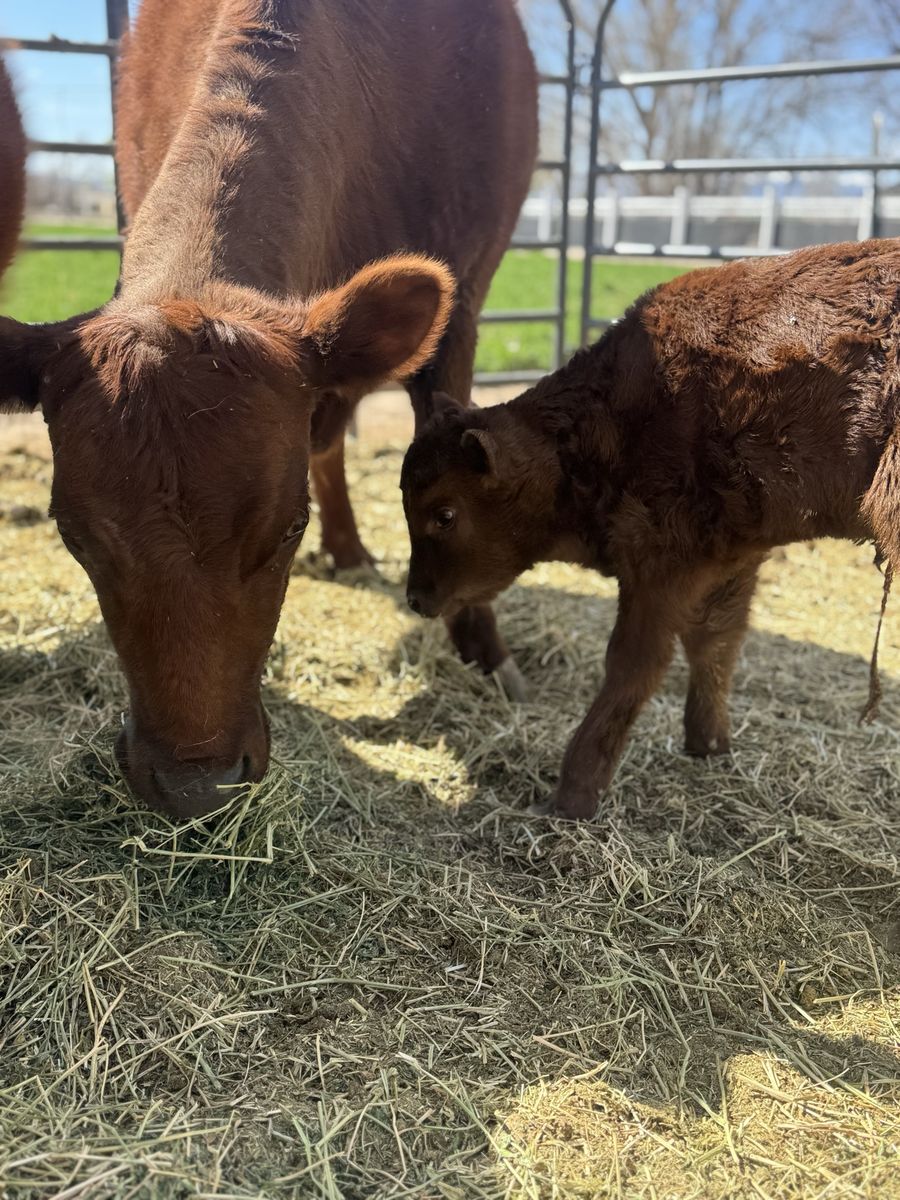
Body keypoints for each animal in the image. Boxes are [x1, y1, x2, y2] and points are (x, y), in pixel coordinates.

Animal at [401, 239, 900, 820]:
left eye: (445, 514)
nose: (415, 599)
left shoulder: (662, 560)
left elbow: (634, 664)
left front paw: (574, 794)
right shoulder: (731, 554)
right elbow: (716, 643)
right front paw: (709, 745)